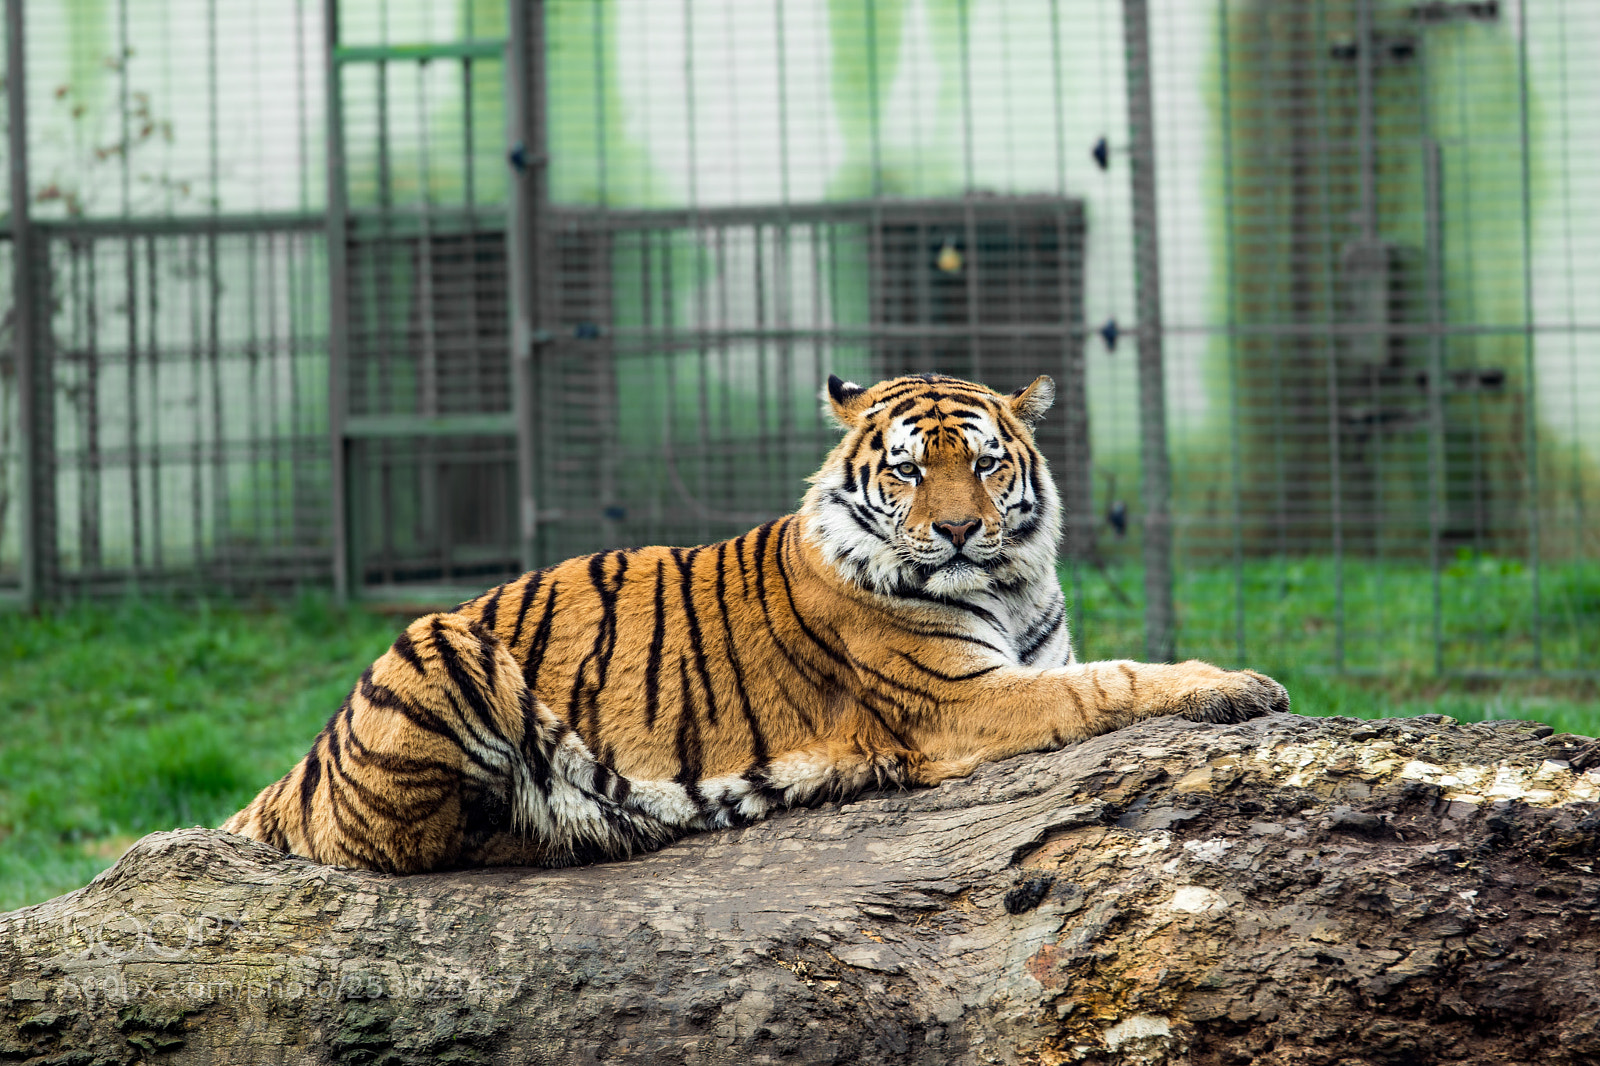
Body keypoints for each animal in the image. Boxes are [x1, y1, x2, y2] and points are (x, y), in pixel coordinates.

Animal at [222, 372, 1289, 873]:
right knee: (425, 849)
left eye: (986, 464)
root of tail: (298, 773)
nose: (957, 530)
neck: (1013, 581)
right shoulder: (964, 700)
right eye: (909, 470)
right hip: (438, 647)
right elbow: (1116, 680)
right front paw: (1239, 685)